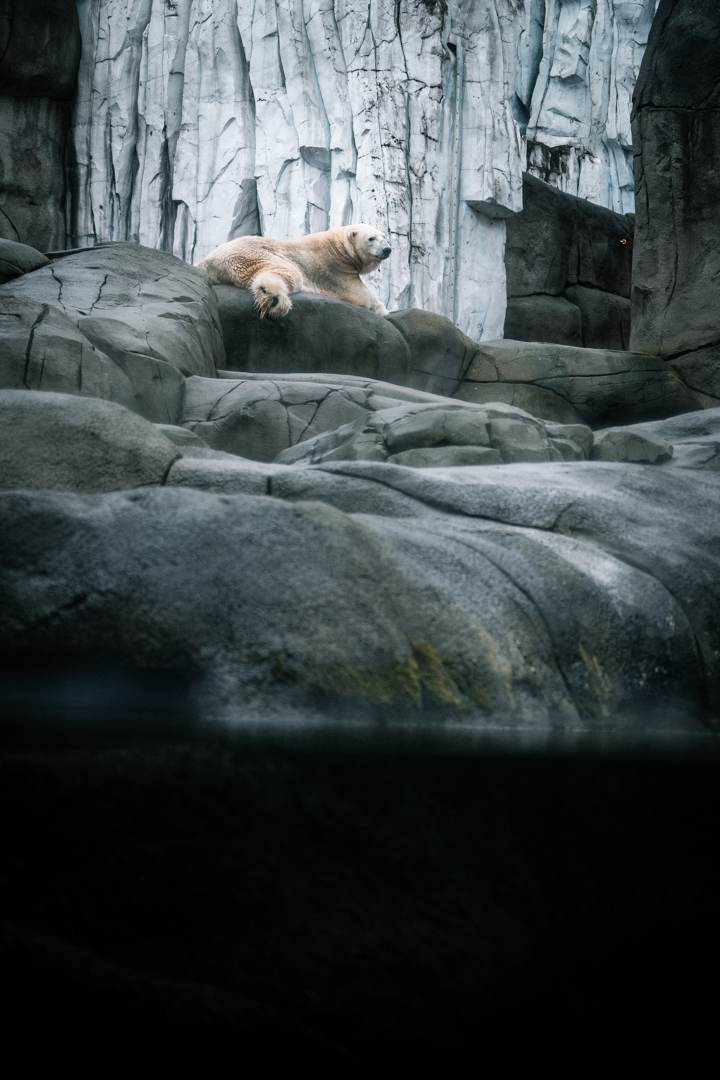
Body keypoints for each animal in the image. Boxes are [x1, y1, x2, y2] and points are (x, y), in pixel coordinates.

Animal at [195, 224, 392, 319]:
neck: (339, 247)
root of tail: (210, 260)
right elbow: (361, 295)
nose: (387, 249)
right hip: (256, 253)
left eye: (385, 237)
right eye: (371, 238)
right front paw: (382, 309)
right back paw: (273, 297)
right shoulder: (334, 271)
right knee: (287, 273)